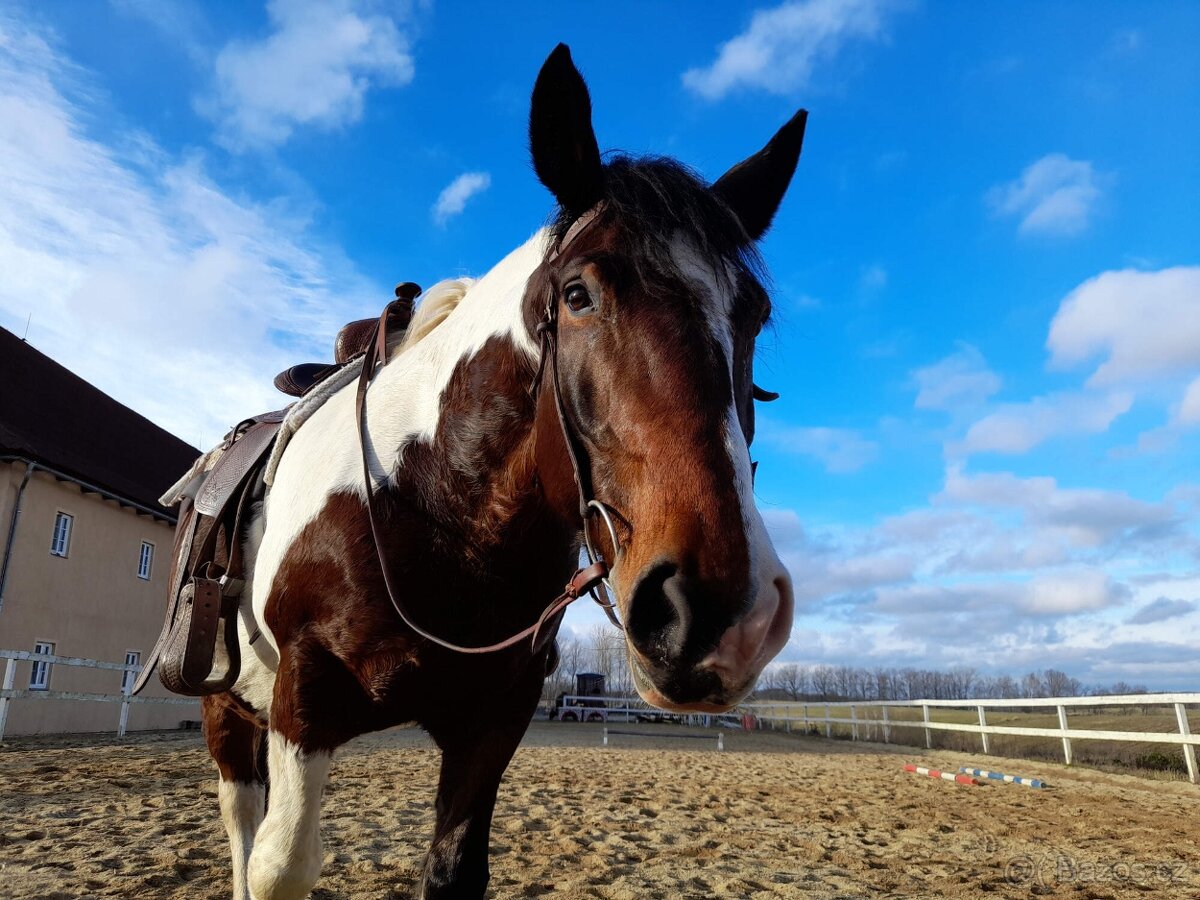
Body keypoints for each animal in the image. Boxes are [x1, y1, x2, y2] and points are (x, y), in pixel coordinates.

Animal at [207, 47, 806, 900]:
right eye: (578, 293)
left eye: (751, 314)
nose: (720, 610)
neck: (434, 507)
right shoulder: (304, 702)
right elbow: (278, 864)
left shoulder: (494, 721)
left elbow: (456, 868)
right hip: (228, 710)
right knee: (240, 820)